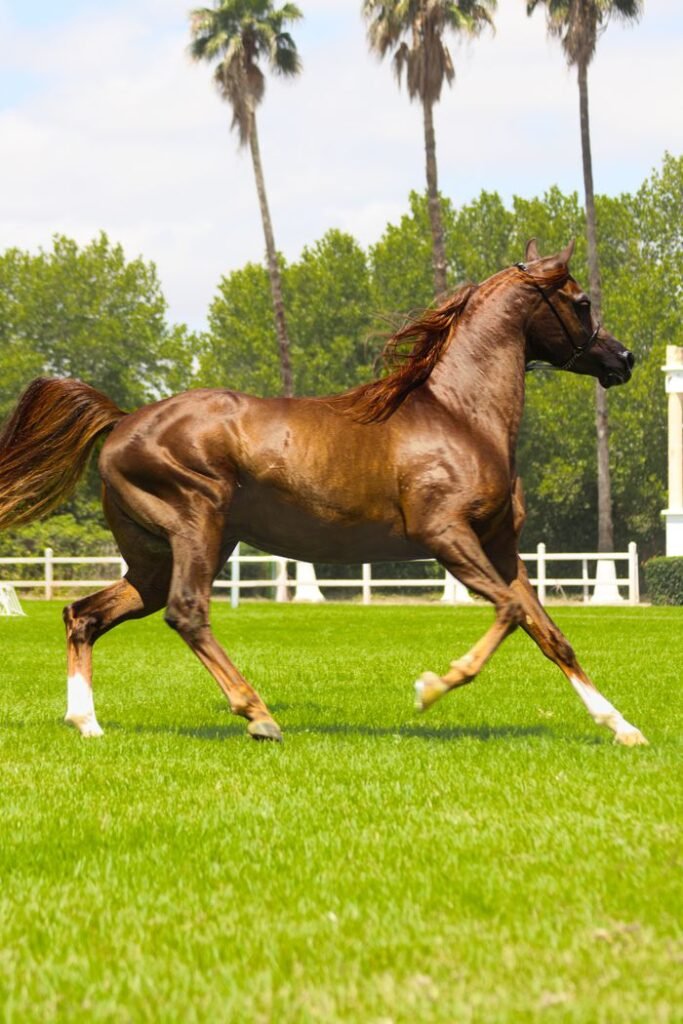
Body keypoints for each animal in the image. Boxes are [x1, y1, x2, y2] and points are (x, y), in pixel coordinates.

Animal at [0, 239, 647, 746]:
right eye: (581, 301)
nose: (625, 358)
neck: (462, 417)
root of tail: (123, 422)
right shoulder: (446, 535)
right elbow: (511, 613)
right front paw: (431, 687)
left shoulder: (501, 548)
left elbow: (549, 633)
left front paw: (621, 726)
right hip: (195, 528)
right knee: (186, 612)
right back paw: (258, 715)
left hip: (157, 558)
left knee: (84, 614)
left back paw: (87, 723)